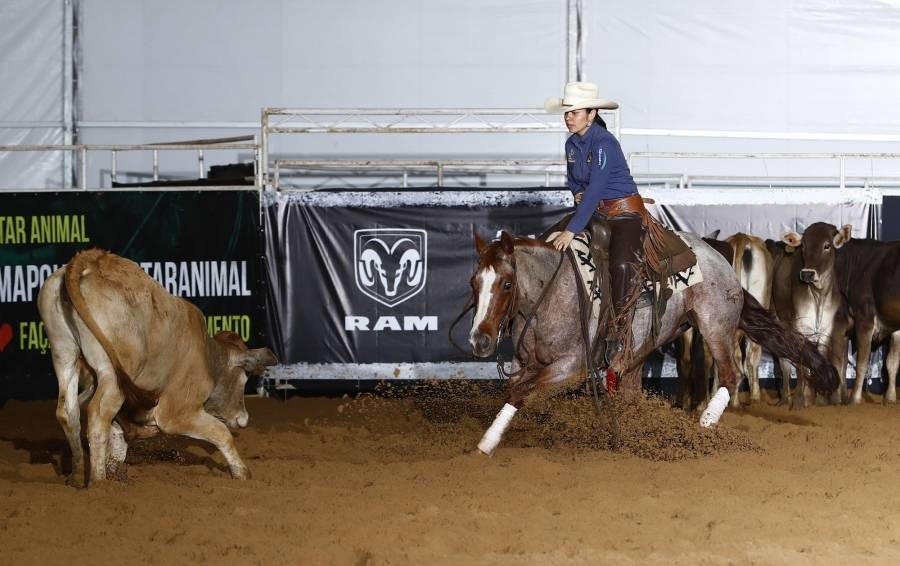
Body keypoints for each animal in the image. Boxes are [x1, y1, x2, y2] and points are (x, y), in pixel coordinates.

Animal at [37, 249, 277, 487]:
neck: (207, 357)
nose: (243, 419)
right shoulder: (176, 412)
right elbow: (221, 432)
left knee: (68, 411)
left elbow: (119, 440)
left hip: (64, 353)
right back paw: (99, 483)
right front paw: (242, 472)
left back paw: (76, 476)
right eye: (244, 379)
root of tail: (91, 260)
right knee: (97, 414)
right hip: (112, 371)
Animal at [467, 229, 840, 455]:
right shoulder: (524, 364)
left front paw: (486, 442)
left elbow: (523, 391)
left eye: (506, 284)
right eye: (474, 282)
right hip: (644, 345)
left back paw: (705, 423)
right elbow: (517, 388)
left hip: (714, 326)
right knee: (632, 388)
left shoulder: (571, 366)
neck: (553, 293)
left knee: (732, 375)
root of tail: (722, 262)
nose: (479, 340)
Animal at [775, 223, 852, 407]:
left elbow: (821, 357)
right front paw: (800, 399)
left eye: (827, 245)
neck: (818, 296)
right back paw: (786, 398)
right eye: (803, 246)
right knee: (785, 364)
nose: (807, 273)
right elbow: (801, 364)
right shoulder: (800, 328)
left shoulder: (827, 330)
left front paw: (821, 399)